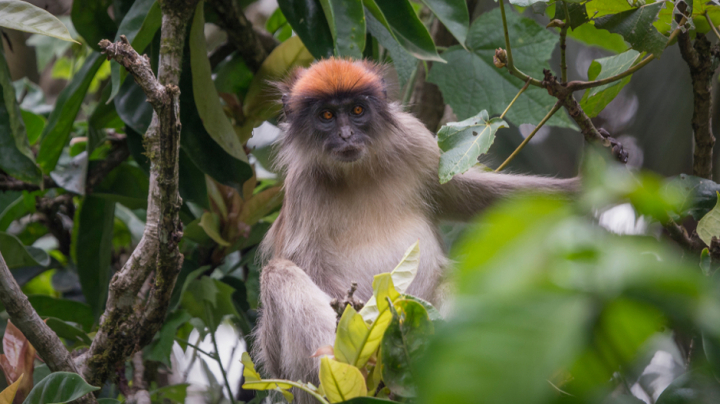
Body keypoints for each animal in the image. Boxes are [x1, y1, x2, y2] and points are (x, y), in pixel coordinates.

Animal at [256, 56, 576, 400]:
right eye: (326, 115)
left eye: (357, 110)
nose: (346, 135)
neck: (356, 173)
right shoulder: (303, 186)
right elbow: (305, 261)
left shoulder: (415, 140)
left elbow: (469, 194)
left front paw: (582, 188)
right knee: (278, 273)